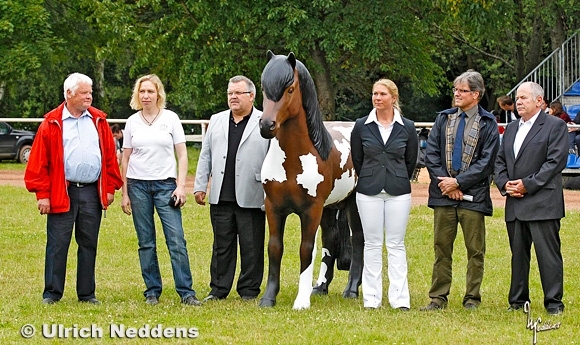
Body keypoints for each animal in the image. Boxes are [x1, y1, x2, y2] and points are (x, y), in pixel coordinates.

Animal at [258, 51, 362, 310]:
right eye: (263, 88)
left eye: (290, 88)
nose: (266, 125)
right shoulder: (274, 208)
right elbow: (274, 248)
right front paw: (268, 298)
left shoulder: (311, 210)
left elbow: (306, 250)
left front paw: (301, 301)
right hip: (330, 208)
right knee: (330, 242)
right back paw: (320, 287)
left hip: (354, 205)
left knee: (358, 241)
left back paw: (351, 290)